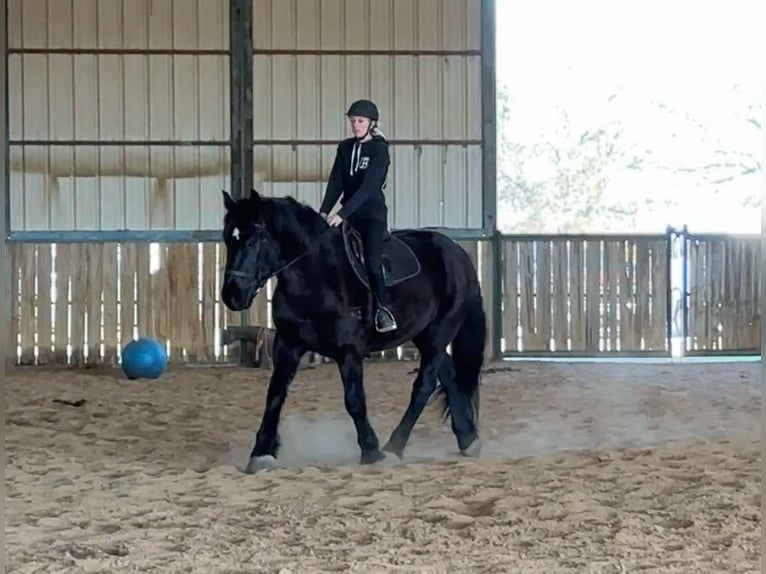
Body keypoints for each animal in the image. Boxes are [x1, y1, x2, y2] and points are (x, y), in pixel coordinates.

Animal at [222, 191, 486, 474]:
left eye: (254, 239)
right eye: (228, 238)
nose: (232, 295)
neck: (316, 274)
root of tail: (457, 254)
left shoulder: (348, 351)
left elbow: (354, 400)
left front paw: (371, 450)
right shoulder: (287, 344)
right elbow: (274, 395)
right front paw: (261, 453)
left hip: (440, 331)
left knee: (424, 385)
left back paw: (394, 447)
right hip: (425, 334)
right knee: (448, 376)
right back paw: (468, 439)